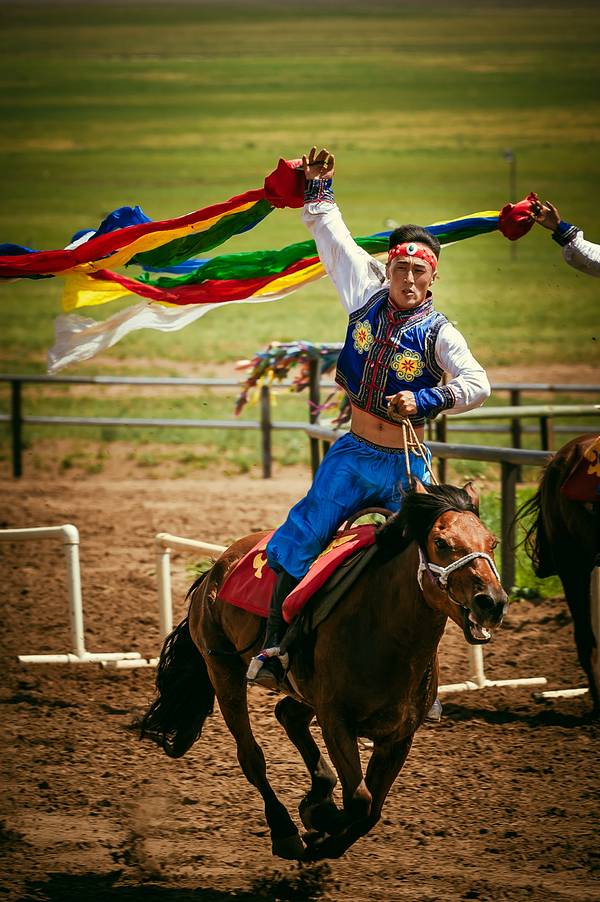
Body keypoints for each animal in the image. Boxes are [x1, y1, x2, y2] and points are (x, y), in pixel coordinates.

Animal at [140, 481, 507, 861]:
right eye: (441, 542)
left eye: (492, 542)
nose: (491, 602)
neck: (387, 633)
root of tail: (215, 570)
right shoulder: (336, 722)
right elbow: (360, 800)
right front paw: (319, 820)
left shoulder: (398, 736)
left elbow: (371, 812)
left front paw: (321, 823)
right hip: (223, 670)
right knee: (251, 756)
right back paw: (285, 829)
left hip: (303, 691)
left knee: (287, 714)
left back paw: (319, 791)